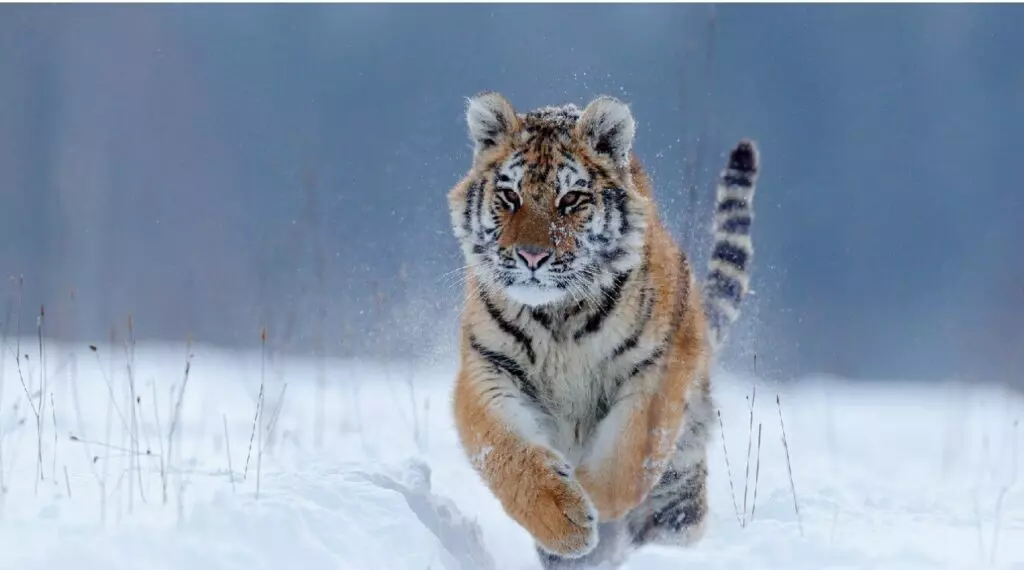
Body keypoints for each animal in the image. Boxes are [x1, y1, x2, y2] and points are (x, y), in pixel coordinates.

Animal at [446, 91, 759, 568]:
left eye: (571, 198)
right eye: (509, 196)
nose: (531, 256)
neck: (557, 316)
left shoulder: (657, 370)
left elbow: (627, 455)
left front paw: (593, 500)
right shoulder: (489, 369)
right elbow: (506, 452)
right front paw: (565, 521)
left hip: (682, 473)